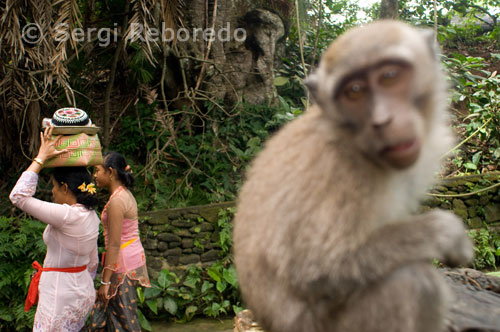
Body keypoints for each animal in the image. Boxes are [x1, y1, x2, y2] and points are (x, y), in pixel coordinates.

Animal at [233, 20, 472, 332]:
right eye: (355, 91)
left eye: (390, 76)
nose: (383, 121)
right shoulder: (341, 174)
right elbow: (316, 269)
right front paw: (447, 233)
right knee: (412, 282)